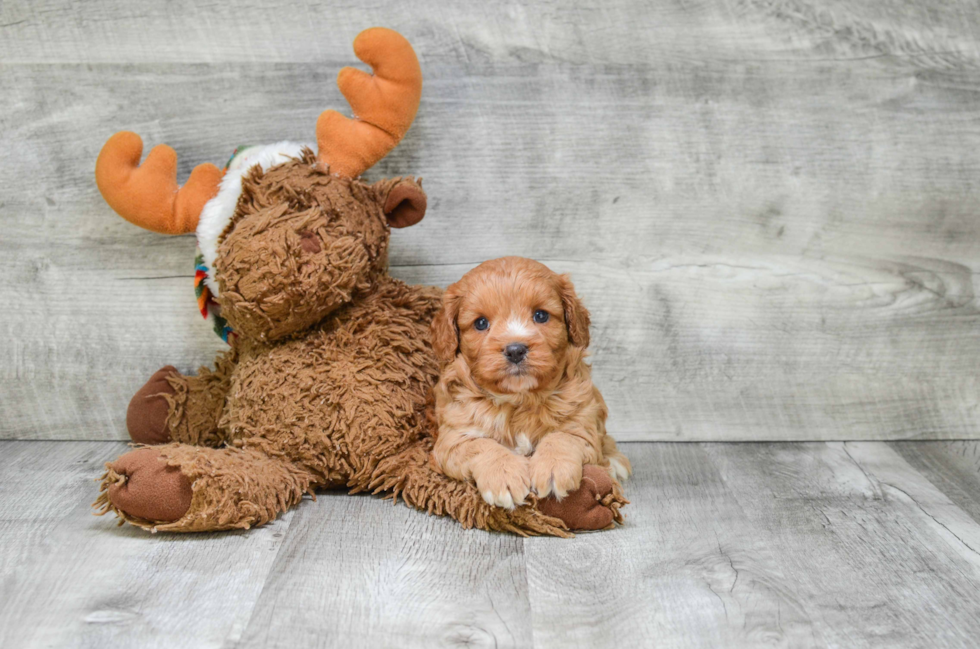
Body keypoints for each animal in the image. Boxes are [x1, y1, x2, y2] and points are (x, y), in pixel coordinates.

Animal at [426, 256, 628, 508]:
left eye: (541, 316)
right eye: (480, 323)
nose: (515, 350)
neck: (519, 399)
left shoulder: (582, 424)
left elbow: (562, 436)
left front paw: (553, 467)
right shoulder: (452, 438)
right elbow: (481, 445)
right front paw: (503, 475)